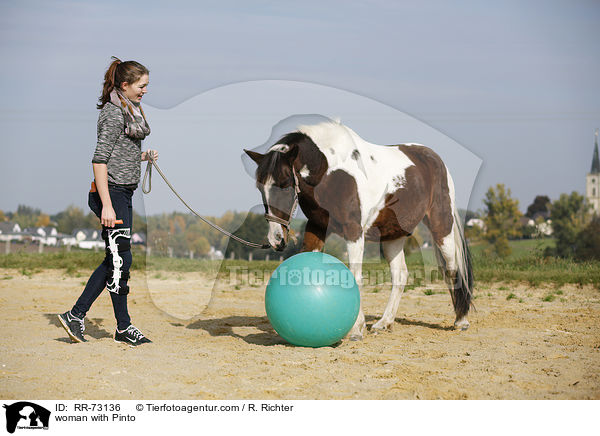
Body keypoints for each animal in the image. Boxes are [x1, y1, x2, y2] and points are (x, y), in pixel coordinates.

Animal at [245, 120, 474, 340]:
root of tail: (434, 159)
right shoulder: (316, 227)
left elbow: (354, 277)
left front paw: (356, 329)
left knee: (452, 269)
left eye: (284, 184)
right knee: (400, 275)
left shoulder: (354, 232)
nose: (276, 239)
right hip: (393, 236)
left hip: (441, 228)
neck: (330, 171)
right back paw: (384, 323)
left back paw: (461, 320)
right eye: (259, 187)